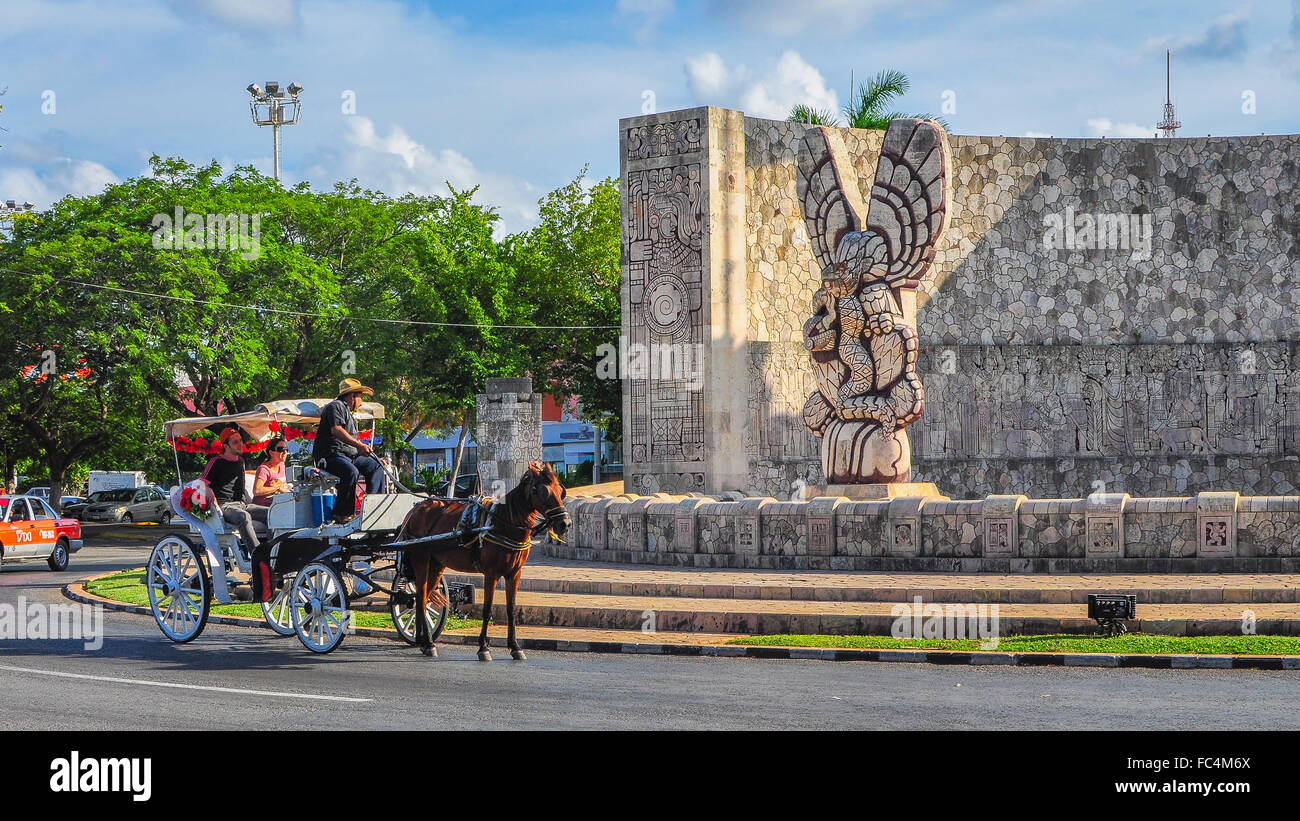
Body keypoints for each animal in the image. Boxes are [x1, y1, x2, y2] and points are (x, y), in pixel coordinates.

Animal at [397, 462, 566, 659]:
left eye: (560, 491)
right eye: (543, 492)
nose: (565, 523)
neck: (503, 523)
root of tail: (415, 509)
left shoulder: (514, 574)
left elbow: (511, 609)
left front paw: (515, 647)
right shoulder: (491, 574)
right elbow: (487, 609)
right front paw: (483, 648)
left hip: (436, 566)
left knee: (422, 599)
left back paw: (424, 642)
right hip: (421, 560)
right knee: (420, 597)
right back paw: (428, 643)